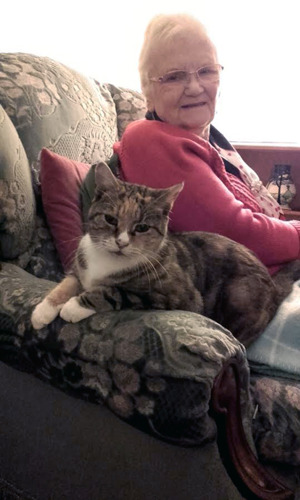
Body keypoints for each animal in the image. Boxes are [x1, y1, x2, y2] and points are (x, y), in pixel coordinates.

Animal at [31, 162, 282, 346]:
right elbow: (67, 283)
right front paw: (44, 310)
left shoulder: (179, 295)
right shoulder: (80, 266)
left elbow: (116, 291)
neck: (107, 261)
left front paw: (75, 305)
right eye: (110, 219)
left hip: (239, 296)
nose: (121, 242)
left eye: (142, 227)